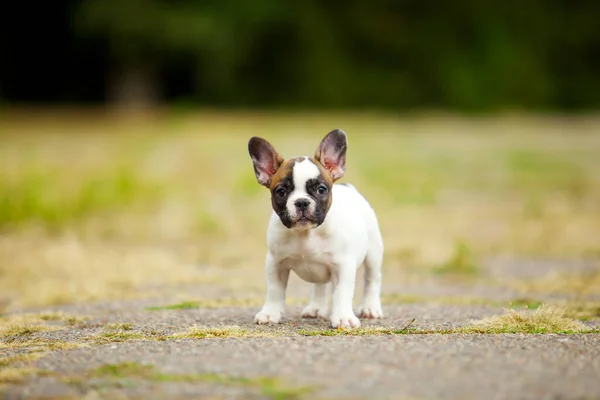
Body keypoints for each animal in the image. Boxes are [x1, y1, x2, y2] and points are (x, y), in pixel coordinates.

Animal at [248, 129, 384, 328]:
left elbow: (342, 292)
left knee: (372, 279)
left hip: (374, 252)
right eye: (281, 192)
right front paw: (270, 313)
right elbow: (274, 290)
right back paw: (316, 308)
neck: (306, 234)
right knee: (320, 286)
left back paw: (370, 308)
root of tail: (349, 187)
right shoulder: (275, 262)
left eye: (321, 189)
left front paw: (343, 317)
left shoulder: (343, 265)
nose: (302, 202)